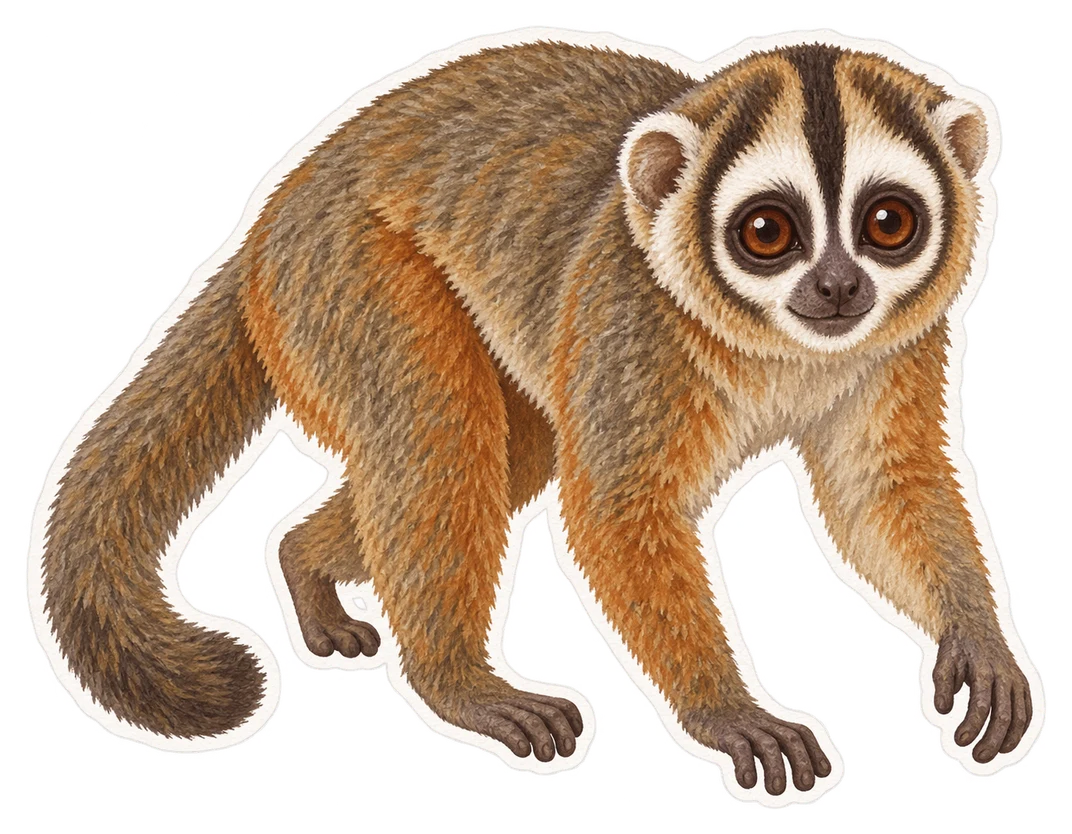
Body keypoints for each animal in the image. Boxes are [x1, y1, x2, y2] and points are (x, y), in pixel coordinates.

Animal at [33, 35, 1032, 796]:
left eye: (888, 223)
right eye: (767, 233)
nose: (837, 287)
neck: (775, 347)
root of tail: (269, 221)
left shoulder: (900, 340)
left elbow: (881, 486)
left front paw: (979, 639)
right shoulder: (630, 314)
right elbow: (616, 507)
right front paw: (727, 710)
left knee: (503, 453)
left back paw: (304, 568)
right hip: (341, 275)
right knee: (441, 434)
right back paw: (459, 687)